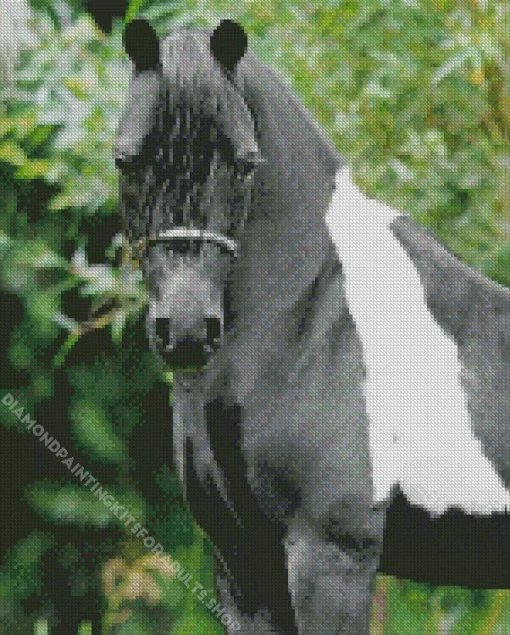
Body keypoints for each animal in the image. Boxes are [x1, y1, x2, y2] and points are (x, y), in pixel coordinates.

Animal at [115, 18, 510, 634]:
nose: (186, 330)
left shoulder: (330, 559)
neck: (310, 321)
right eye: (127, 161)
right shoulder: (244, 569)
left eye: (245, 162)